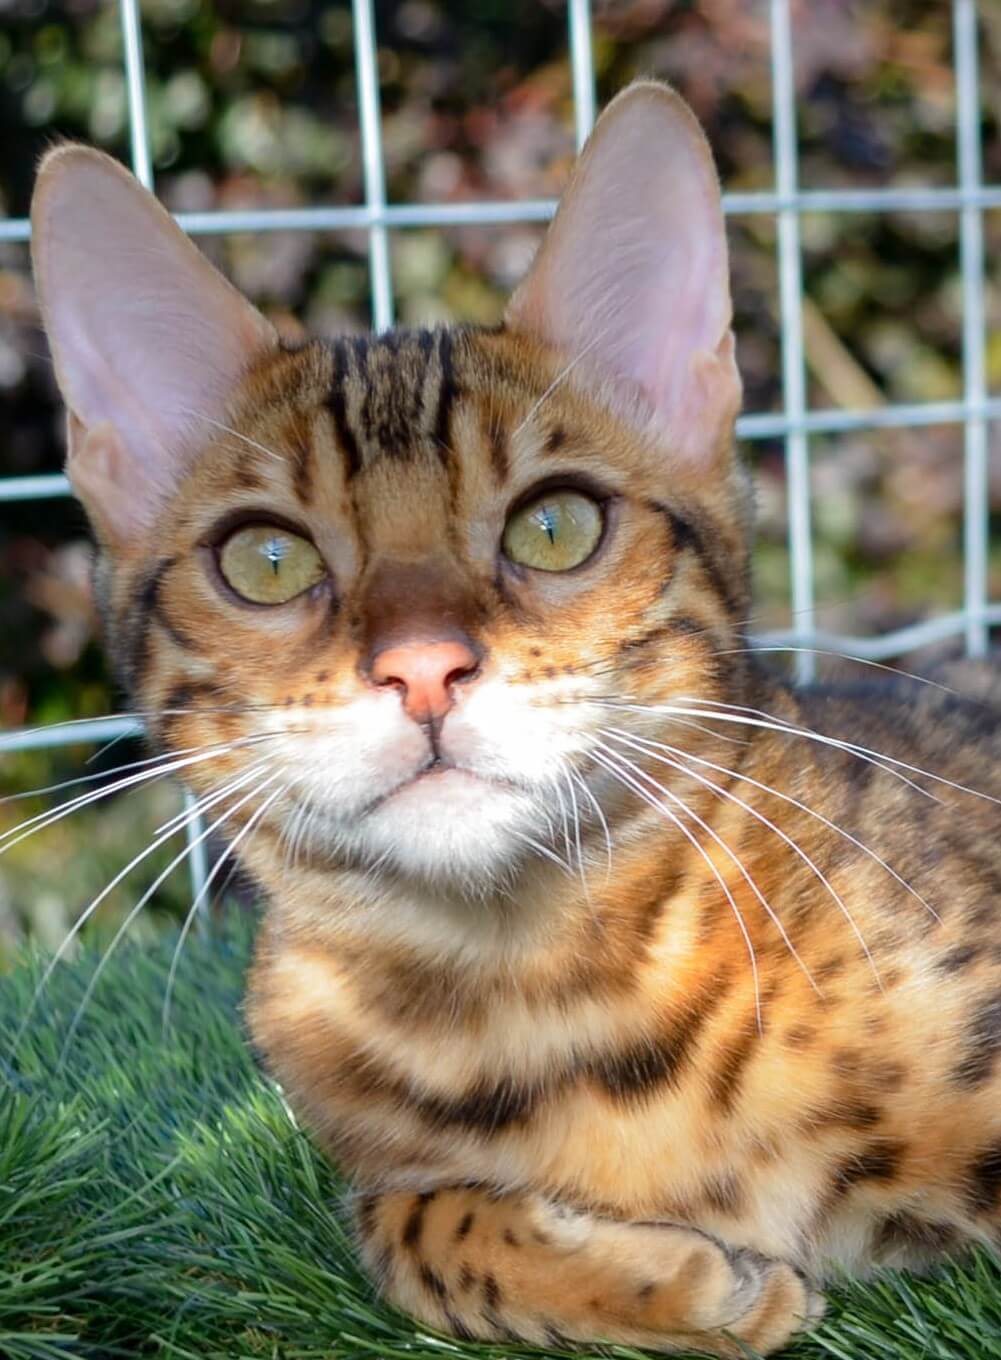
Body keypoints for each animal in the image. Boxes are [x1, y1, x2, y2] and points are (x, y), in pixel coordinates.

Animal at [29, 82, 1001, 1349]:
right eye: (267, 559)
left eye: (554, 526)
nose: (423, 666)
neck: (533, 996)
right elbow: (408, 1227)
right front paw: (694, 1283)